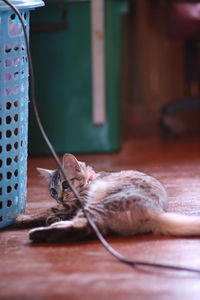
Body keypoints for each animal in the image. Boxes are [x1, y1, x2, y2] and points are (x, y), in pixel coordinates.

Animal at [16, 154, 200, 243]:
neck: (90, 179)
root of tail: (156, 212)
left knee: (85, 227)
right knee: (94, 229)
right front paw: (52, 217)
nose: (59, 198)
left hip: (96, 206)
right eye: (53, 191)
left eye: (66, 185)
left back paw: (37, 234)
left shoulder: (76, 204)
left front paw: (23, 218)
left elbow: (47, 210)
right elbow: (53, 211)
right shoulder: (70, 206)